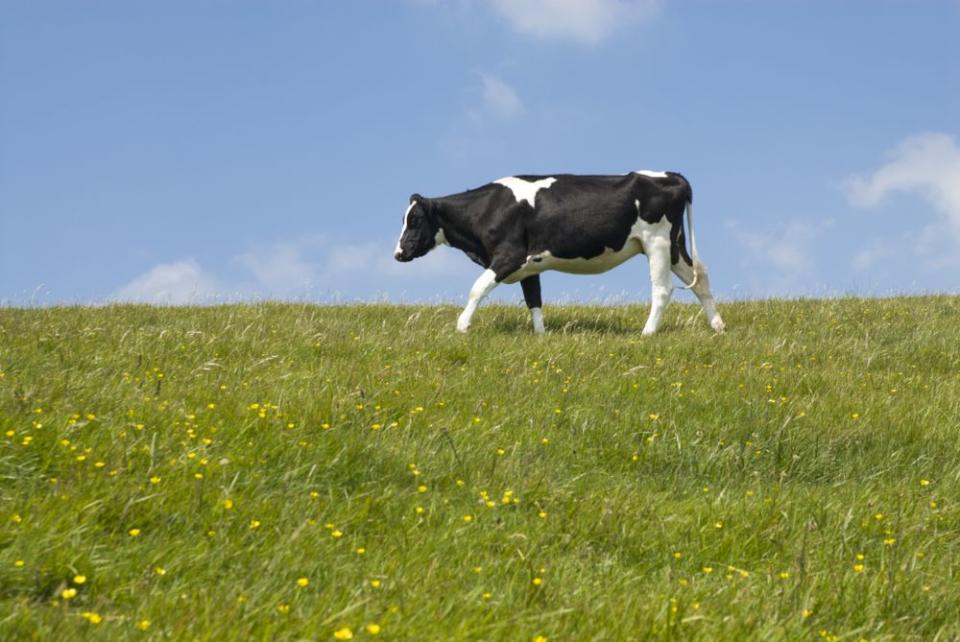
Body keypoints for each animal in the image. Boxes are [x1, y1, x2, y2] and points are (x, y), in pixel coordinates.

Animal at [394, 170, 724, 336]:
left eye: (415, 220)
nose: (398, 253)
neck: (486, 209)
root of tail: (672, 175)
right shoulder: (529, 265)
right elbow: (534, 300)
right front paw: (540, 337)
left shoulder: (510, 255)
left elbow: (477, 288)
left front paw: (463, 326)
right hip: (673, 245)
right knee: (701, 278)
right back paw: (718, 326)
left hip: (657, 241)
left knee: (663, 289)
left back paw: (647, 333)